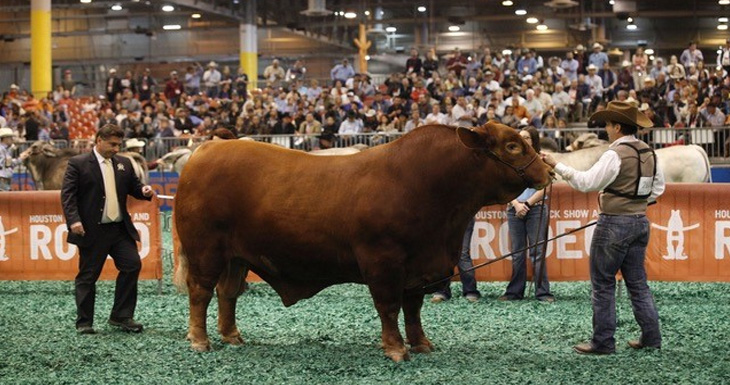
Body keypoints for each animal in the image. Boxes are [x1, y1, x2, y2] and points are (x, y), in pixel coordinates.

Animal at [175, 122, 552, 360]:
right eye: (512, 145)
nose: (548, 172)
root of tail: (208, 148)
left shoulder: (420, 267)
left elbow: (413, 309)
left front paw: (421, 343)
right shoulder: (382, 261)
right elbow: (389, 306)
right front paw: (396, 349)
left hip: (237, 257)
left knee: (228, 293)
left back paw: (232, 336)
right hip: (206, 250)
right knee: (201, 292)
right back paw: (199, 340)